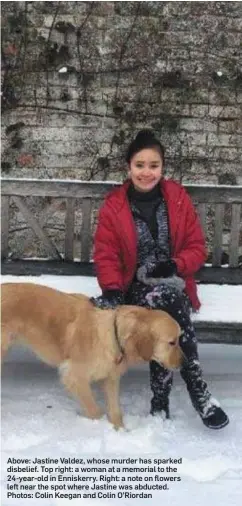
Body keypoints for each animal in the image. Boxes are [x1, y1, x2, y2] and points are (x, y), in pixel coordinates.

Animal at [0, 282, 182, 428]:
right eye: (172, 342)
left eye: (180, 339)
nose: (185, 362)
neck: (112, 333)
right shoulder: (74, 376)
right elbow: (95, 410)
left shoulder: (111, 379)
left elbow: (115, 411)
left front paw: (121, 431)